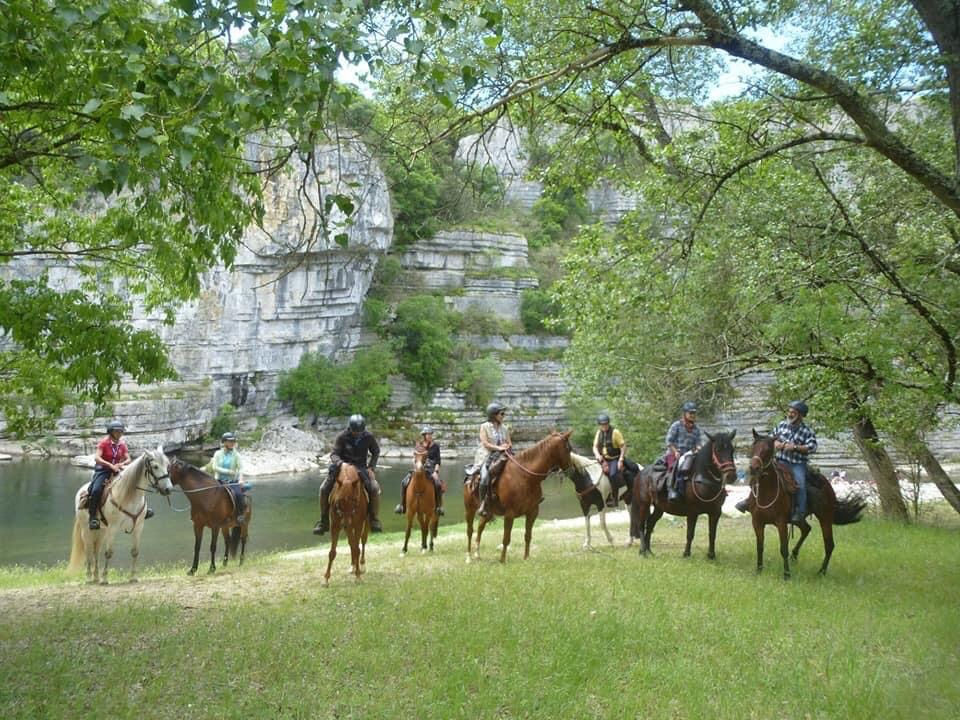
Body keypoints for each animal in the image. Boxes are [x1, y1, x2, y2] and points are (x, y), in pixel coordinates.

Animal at [68, 446, 173, 584]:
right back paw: (90, 578)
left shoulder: (138, 527)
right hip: (86, 529)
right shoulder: (113, 528)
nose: (168, 489)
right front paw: (105, 578)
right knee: (89, 550)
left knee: (96, 550)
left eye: (167, 465)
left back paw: (96, 577)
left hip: (101, 531)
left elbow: (135, 552)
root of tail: (82, 490)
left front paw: (133, 577)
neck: (130, 497)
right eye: (155, 466)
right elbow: (109, 553)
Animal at [463, 430, 573, 563]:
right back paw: (468, 557)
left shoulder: (532, 511)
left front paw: (526, 558)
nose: (572, 470)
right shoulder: (509, 514)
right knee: (470, 531)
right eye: (568, 449)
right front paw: (502, 560)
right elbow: (506, 538)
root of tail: (470, 475)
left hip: (487, 512)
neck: (526, 477)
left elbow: (528, 536)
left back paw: (477, 554)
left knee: (480, 527)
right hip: (469, 509)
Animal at [629, 430, 738, 559]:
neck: (703, 481)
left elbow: (712, 534)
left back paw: (649, 551)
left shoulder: (715, 512)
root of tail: (640, 473)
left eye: (732, 450)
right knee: (641, 525)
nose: (731, 476)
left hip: (659, 508)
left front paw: (711, 555)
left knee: (650, 524)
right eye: (717, 449)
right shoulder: (692, 512)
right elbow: (690, 533)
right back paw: (643, 551)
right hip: (643, 505)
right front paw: (686, 554)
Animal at [745, 430, 866, 579]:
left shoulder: (781, 522)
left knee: (829, 544)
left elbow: (783, 548)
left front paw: (786, 574)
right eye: (753, 446)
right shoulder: (757, 522)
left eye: (768, 449)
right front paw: (759, 570)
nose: (753, 467)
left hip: (825, 517)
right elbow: (760, 546)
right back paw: (795, 555)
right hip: (799, 519)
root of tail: (827, 485)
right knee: (806, 529)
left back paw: (821, 572)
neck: (766, 493)